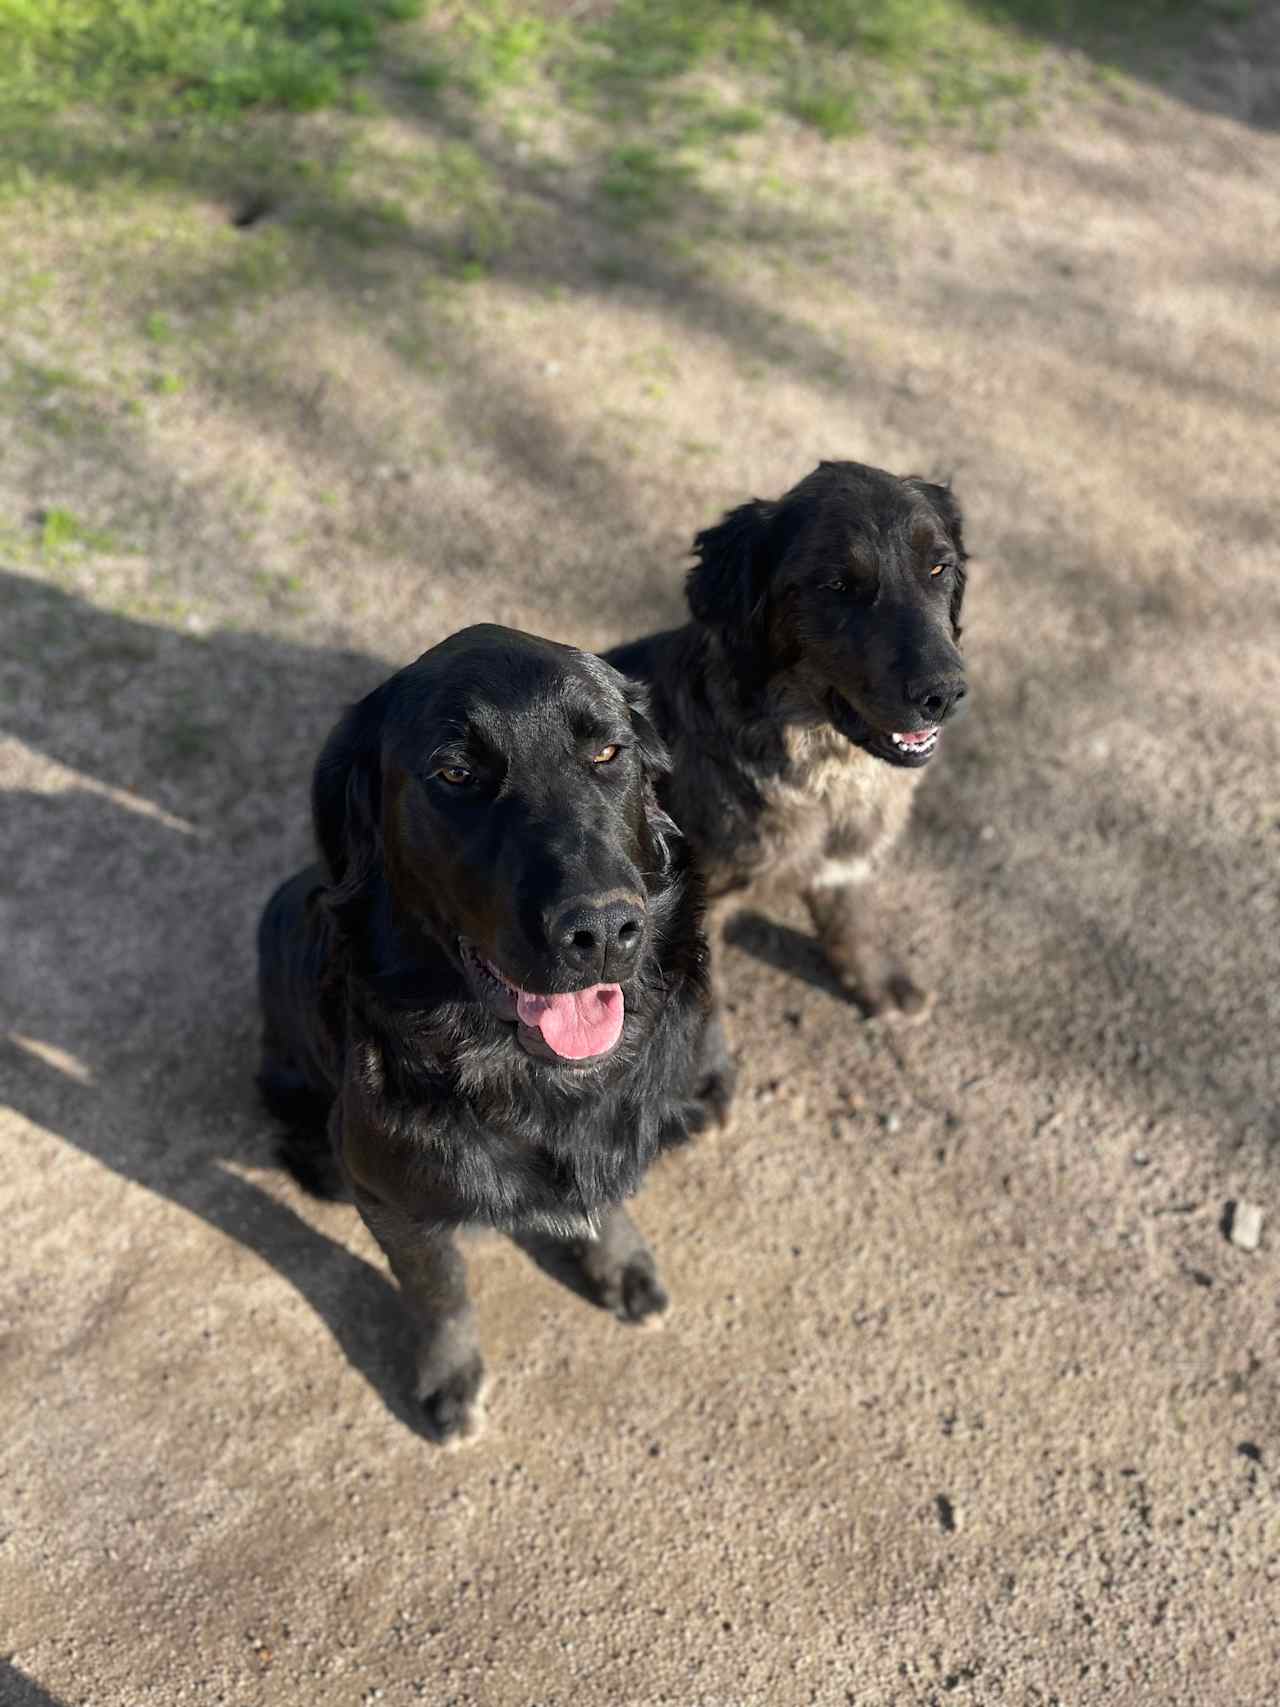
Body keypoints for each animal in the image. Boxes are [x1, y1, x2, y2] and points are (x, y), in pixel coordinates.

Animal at [254, 628, 706, 1440]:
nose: (601, 931)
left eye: (607, 752)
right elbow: (439, 1289)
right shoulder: (392, 1196)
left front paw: (619, 1260)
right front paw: (450, 1377)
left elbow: (603, 1195)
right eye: (456, 773)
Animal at [607, 454, 969, 1119]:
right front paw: (702, 1082)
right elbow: (703, 1000)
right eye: (838, 585)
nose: (946, 693)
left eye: (939, 567)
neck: (824, 772)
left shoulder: (846, 864)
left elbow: (853, 923)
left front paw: (879, 985)